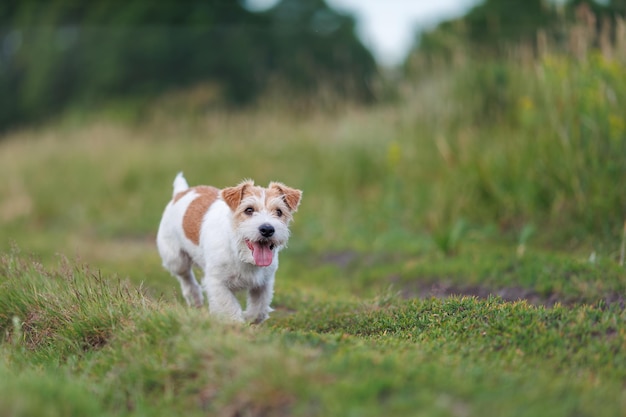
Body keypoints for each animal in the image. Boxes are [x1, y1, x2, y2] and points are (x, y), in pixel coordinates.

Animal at [157, 171, 302, 322]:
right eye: (249, 210)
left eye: (279, 212)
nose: (267, 229)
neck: (240, 253)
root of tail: (181, 192)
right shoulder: (217, 282)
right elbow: (229, 308)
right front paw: (236, 324)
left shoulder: (264, 283)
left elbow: (259, 309)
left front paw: (249, 318)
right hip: (176, 260)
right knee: (186, 278)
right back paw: (194, 297)